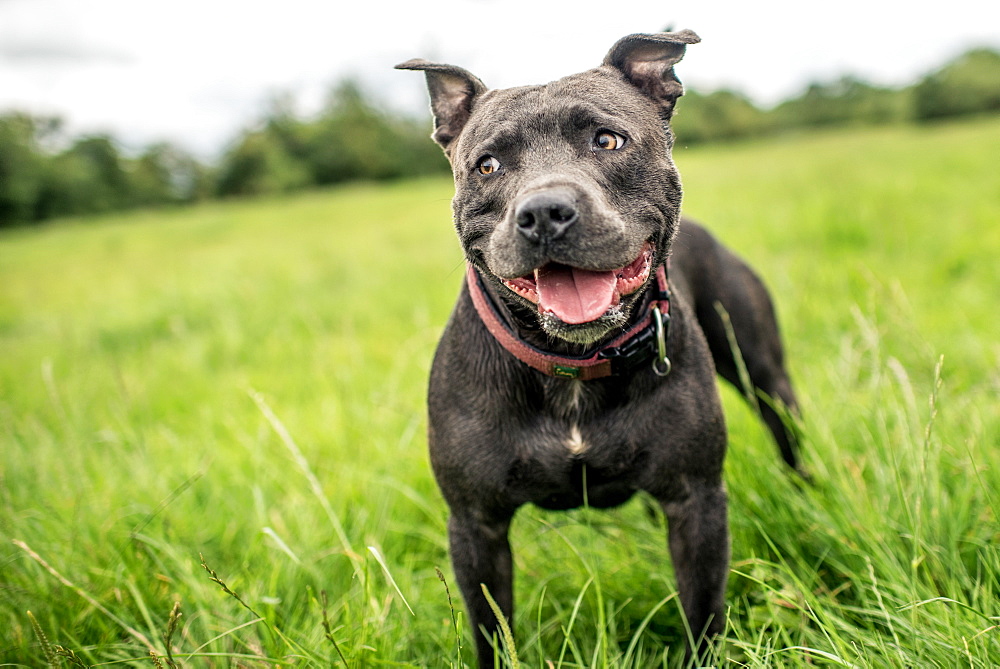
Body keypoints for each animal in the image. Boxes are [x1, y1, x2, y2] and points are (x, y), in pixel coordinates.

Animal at [396, 28, 796, 664]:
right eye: (487, 165)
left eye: (607, 140)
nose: (542, 212)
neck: (574, 363)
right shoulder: (476, 524)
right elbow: (491, 630)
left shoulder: (696, 501)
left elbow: (703, 614)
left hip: (764, 375)